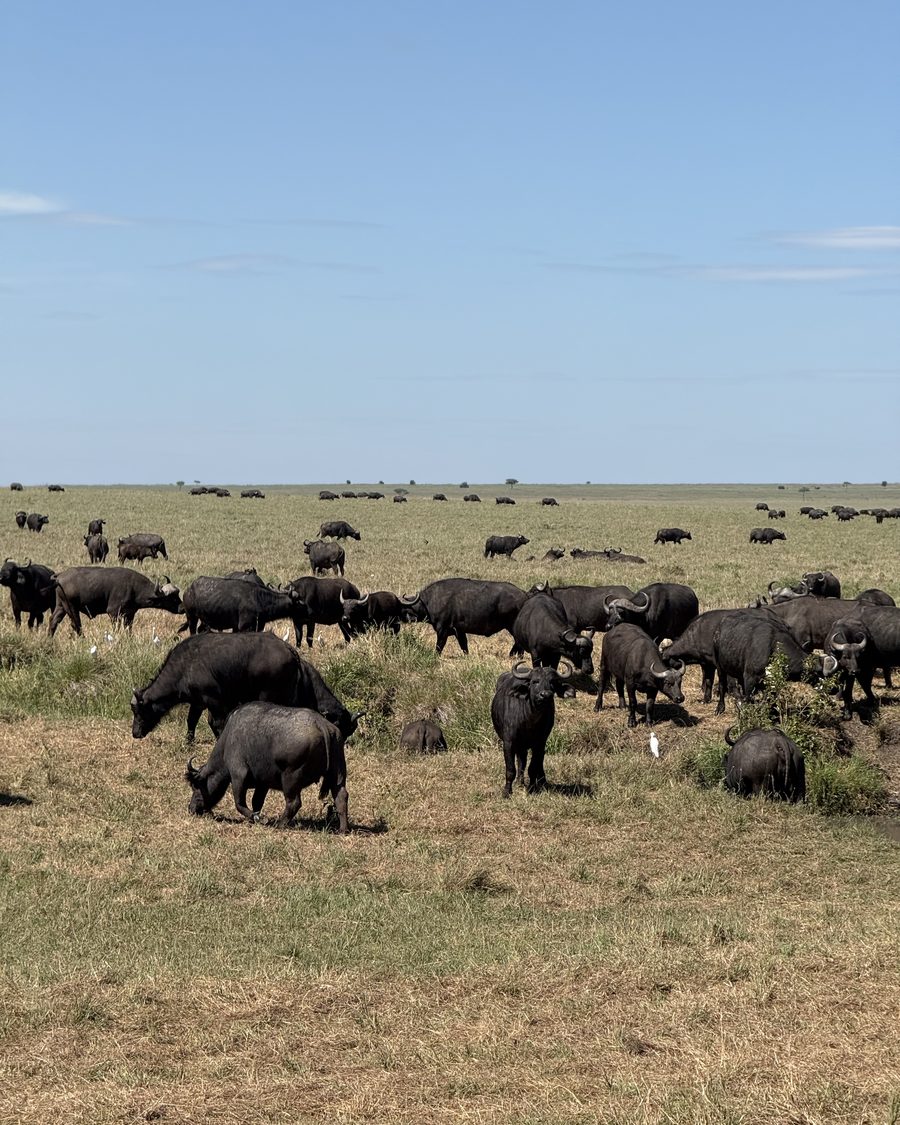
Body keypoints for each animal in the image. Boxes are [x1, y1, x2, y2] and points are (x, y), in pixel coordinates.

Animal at [185, 704, 349, 833]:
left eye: (196, 786)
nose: (191, 808)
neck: (226, 742)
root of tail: (322, 724)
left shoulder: (238, 775)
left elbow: (239, 803)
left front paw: (256, 818)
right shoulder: (262, 784)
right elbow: (256, 802)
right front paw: (255, 817)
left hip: (290, 778)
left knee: (294, 802)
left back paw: (280, 824)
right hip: (338, 773)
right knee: (341, 796)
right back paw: (343, 829)